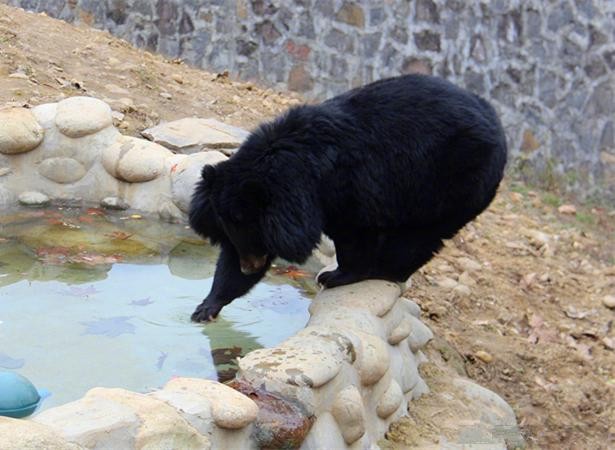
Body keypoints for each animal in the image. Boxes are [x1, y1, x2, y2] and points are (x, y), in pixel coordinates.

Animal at [190, 74, 508, 322]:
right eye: (229, 232)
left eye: (254, 235)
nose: (250, 266)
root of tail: (496, 121)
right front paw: (207, 306)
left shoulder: (348, 188)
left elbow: (355, 233)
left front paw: (336, 276)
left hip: (451, 180)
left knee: (419, 236)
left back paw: (386, 270)